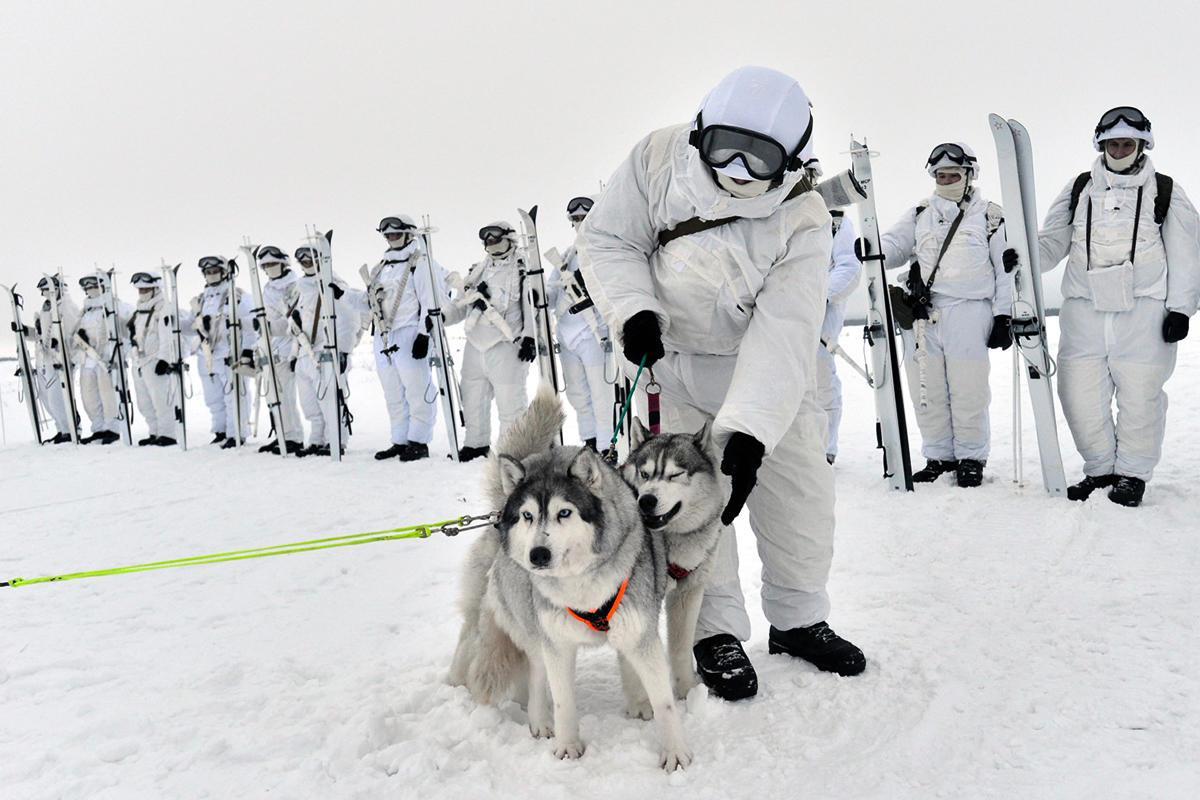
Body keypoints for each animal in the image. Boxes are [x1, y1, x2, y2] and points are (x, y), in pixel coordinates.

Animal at [451, 383, 696, 772]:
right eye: (528, 516)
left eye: (564, 512)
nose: (538, 555)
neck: (582, 586)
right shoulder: (557, 644)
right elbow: (563, 699)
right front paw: (567, 747)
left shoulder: (640, 636)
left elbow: (666, 703)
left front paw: (674, 753)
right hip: (532, 629)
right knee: (536, 674)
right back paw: (539, 720)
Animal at [619, 419, 720, 705]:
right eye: (644, 474)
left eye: (675, 475)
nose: (646, 500)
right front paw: (640, 704)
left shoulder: (688, 593)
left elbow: (680, 648)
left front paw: (687, 689)